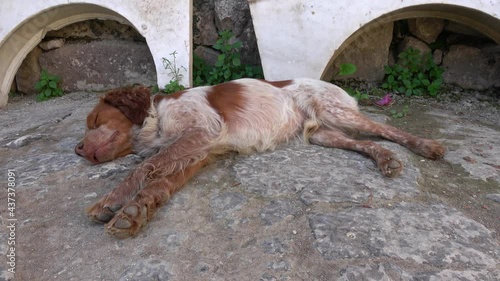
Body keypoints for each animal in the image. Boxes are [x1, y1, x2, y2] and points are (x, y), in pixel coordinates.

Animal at [75, 77, 446, 237]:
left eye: (93, 121)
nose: (76, 149)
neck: (157, 120)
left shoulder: (202, 132)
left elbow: (147, 166)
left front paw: (112, 200)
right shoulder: (200, 152)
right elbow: (160, 182)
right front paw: (135, 211)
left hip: (336, 111)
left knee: (385, 129)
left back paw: (425, 145)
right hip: (322, 133)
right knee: (365, 143)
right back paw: (384, 158)